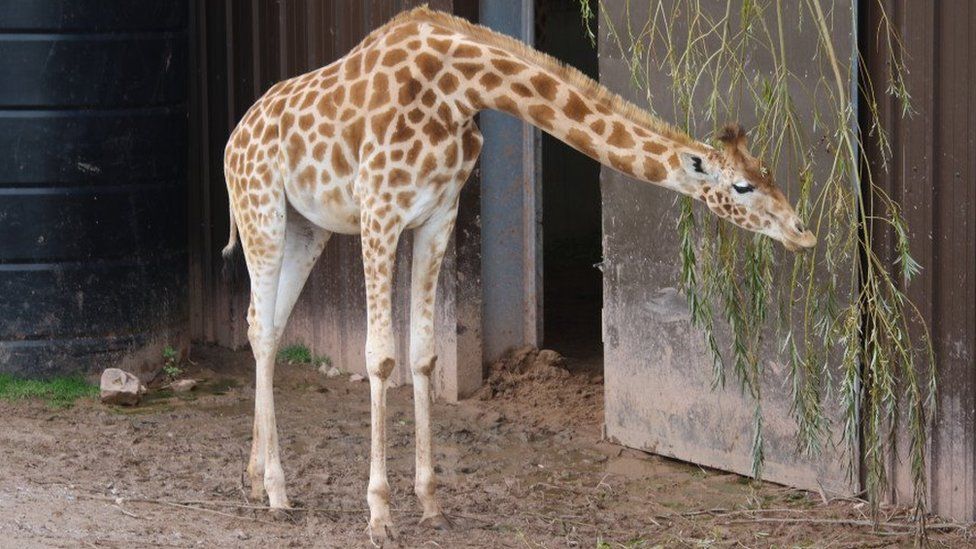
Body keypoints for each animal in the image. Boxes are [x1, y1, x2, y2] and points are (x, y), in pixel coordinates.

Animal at [221, 5, 816, 544]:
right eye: (743, 186)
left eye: (770, 173)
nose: (803, 233)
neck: (458, 89)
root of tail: (233, 138)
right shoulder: (379, 212)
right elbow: (380, 357)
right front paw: (380, 516)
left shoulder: (438, 215)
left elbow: (424, 355)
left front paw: (431, 504)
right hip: (262, 212)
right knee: (262, 327)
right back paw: (276, 492)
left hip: (307, 228)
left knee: (264, 323)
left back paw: (253, 478)